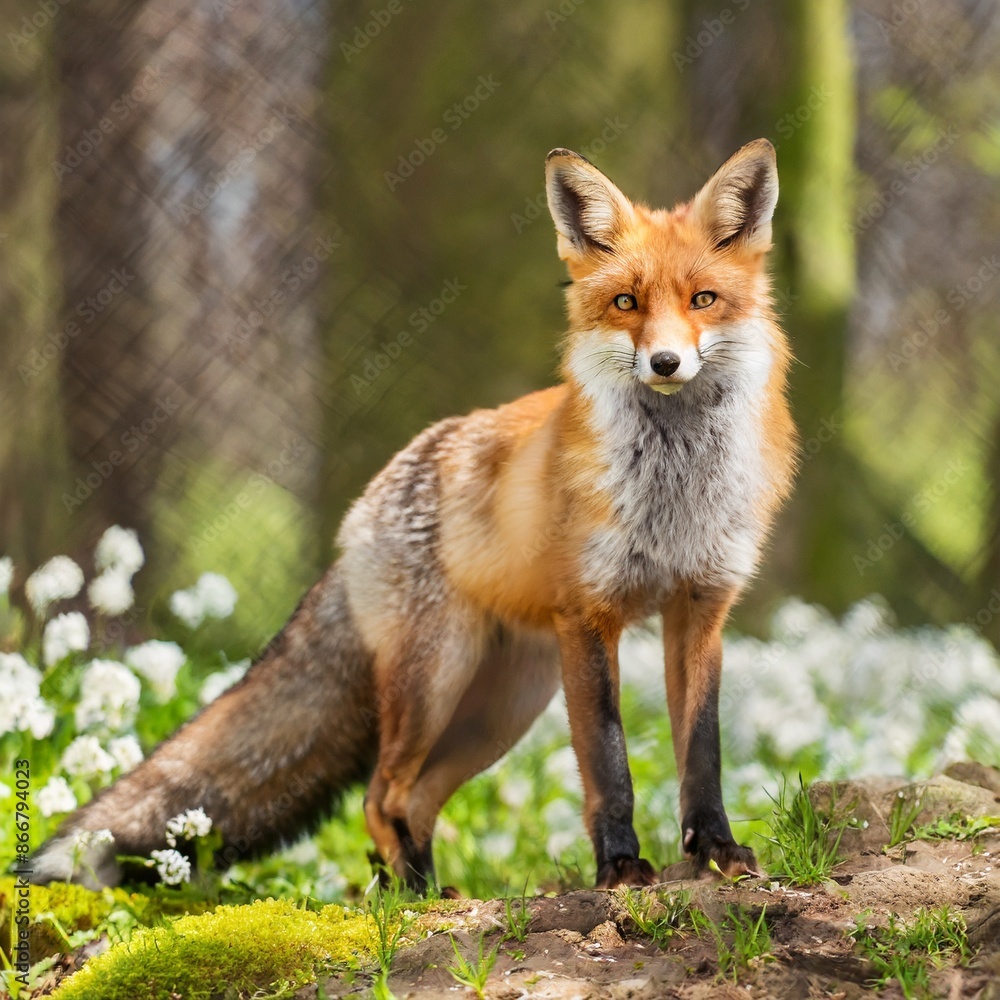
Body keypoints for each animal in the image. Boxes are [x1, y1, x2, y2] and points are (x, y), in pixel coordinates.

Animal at [31, 138, 796, 893]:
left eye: (703, 299)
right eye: (626, 302)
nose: (665, 362)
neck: (675, 493)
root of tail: (360, 514)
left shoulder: (700, 608)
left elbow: (703, 753)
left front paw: (716, 851)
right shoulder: (591, 617)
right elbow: (609, 763)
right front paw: (618, 867)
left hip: (502, 706)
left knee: (415, 797)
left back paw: (422, 886)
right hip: (442, 679)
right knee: (380, 792)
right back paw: (411, 897)